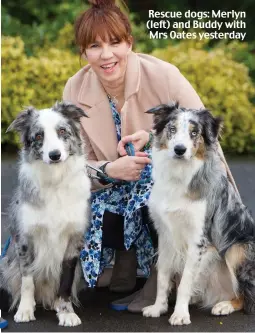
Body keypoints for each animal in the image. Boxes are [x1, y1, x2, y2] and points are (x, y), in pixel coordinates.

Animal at [0, 101, 91, 324]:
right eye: (39, 136)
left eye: (62, 131)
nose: (54, 155)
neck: (54, 180)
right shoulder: (25, 238)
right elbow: (27, 280)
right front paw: (25, 310)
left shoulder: (73, 240)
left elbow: (65, 281)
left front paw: (66, 312)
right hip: (7, 266)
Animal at [142, 103, 254, 324]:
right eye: (172, 128)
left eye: (194, 133)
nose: (179, 149)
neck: (179, 176)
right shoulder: (165, 235)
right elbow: (163, 275)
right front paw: (159, 307)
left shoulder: (198, 239)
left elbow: (185, 281)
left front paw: (180, 314)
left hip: (236, 249)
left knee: (246, 294)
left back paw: (225, 305)